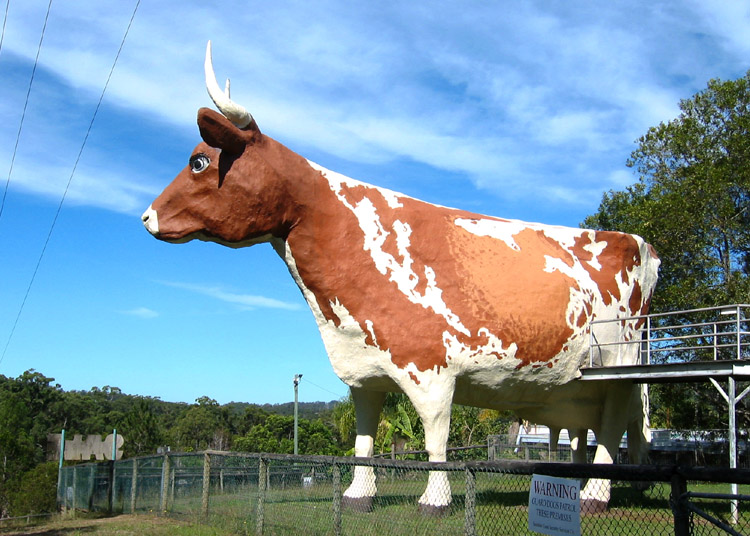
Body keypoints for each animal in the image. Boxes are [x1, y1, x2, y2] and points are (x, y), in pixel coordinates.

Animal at [142, 42, 660, 514]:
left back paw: (595, 496)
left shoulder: (431, 369)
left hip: (618, 365)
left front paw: (435, 500)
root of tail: (638, 242)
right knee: (602, 427)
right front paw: (358, 496)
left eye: (198, 161)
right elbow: (363, 440)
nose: (146, 216)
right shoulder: (363, 373)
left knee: (613, 425)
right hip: (581, 384)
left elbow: (435, 441)